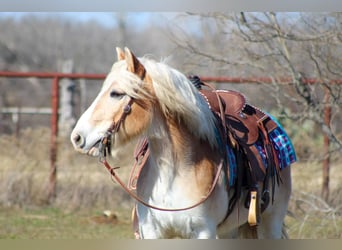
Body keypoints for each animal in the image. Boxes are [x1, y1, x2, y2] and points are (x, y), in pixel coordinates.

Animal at [70, 47, 294, 238]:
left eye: (116, 93)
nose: (77, 137)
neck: (174, 172)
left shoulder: (203, 232)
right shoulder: (151, 232)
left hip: (271, 223)